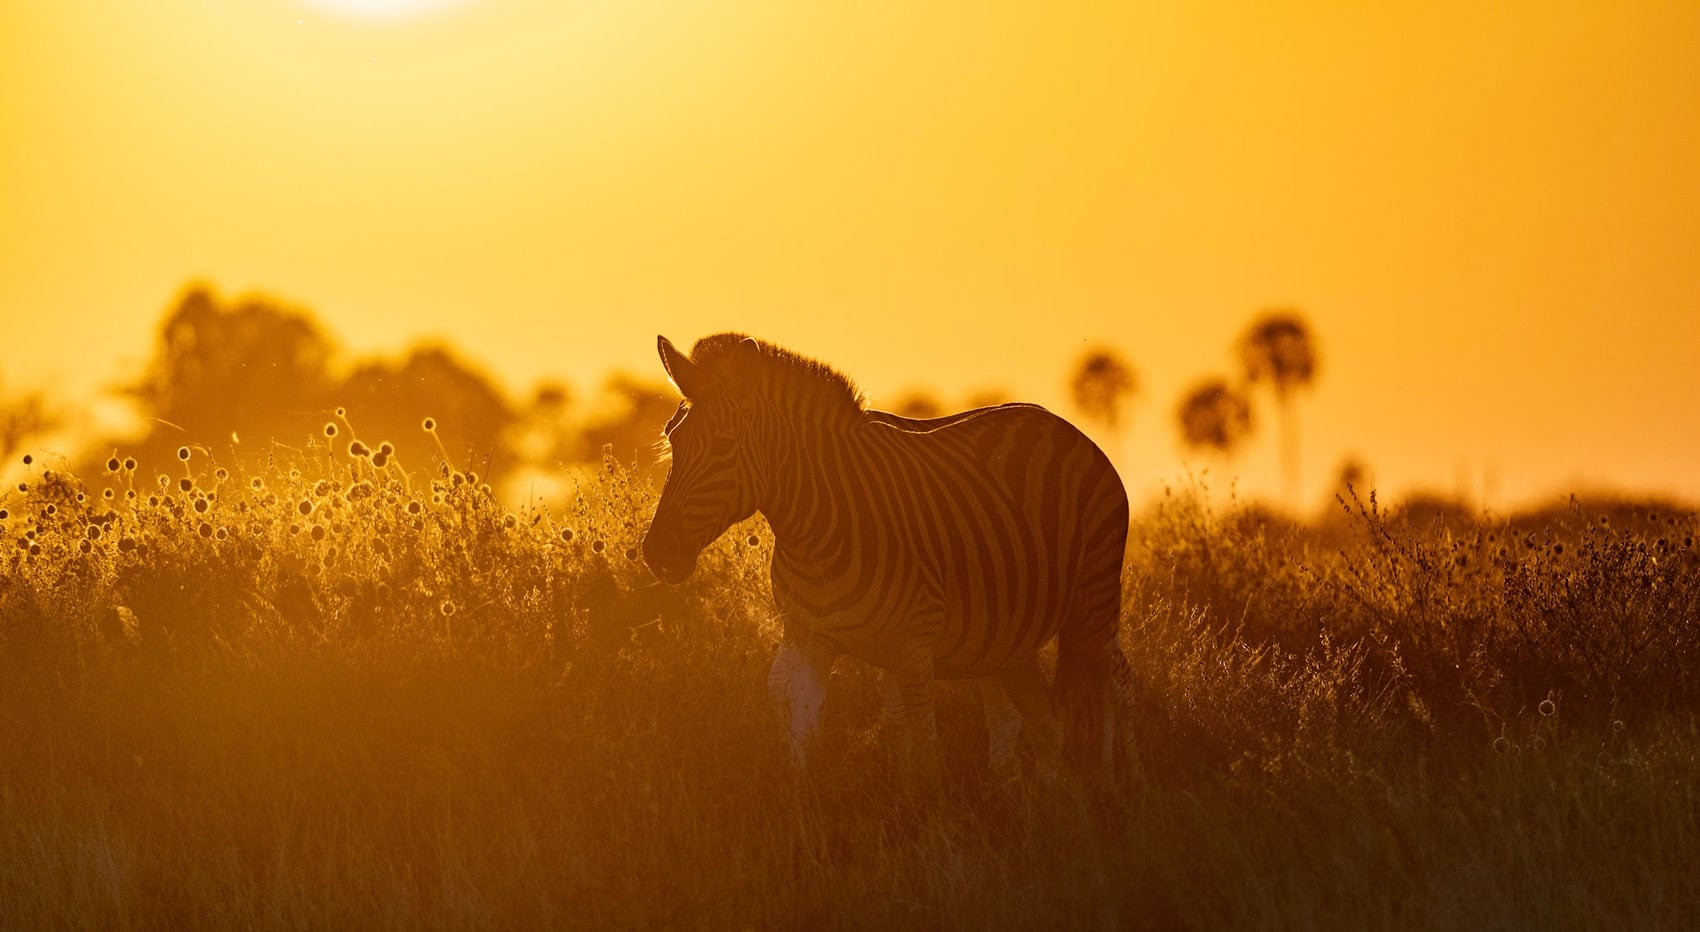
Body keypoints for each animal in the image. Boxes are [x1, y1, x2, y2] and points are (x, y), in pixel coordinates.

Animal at [641, 333, 1135, 781]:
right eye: (672, 438)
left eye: (724, 443)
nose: (656, 552)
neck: (818, 526)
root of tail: (1059, 422)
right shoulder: (808, 634)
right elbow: (798, 714)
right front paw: (801, 803)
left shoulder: (914, 646)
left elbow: (926, 754)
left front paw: (930, 818)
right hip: (1007, 638)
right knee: (1036, 721)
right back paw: (1043, 804)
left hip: (1093, 603)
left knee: (1113, 686)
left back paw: (1117, 787)